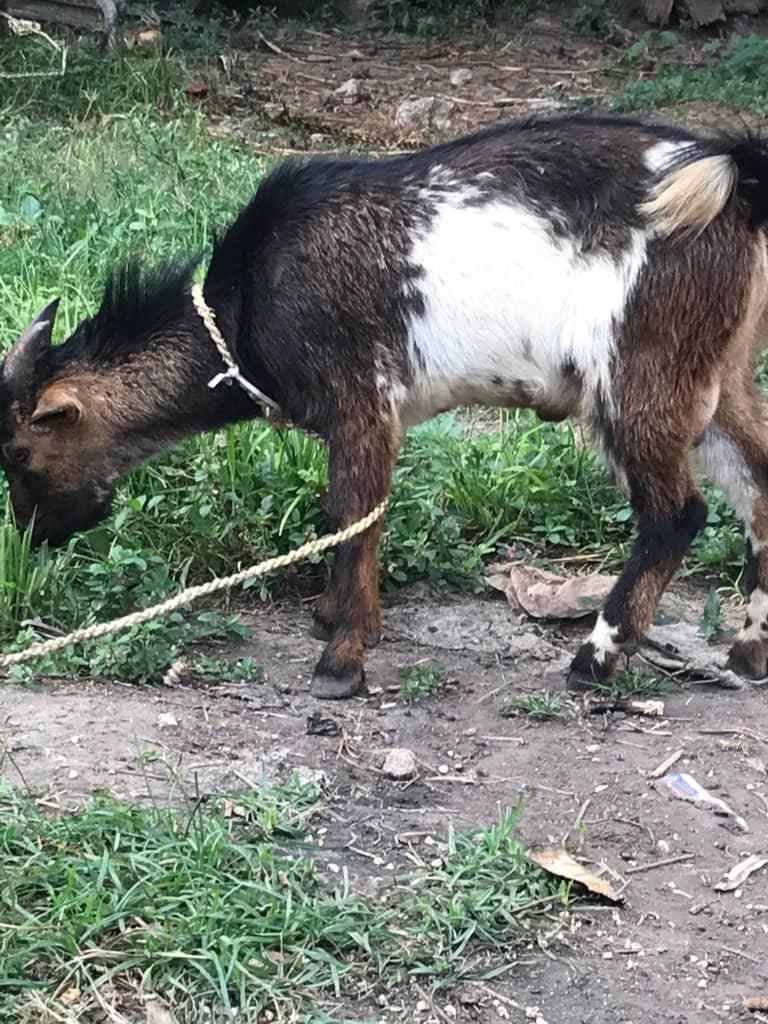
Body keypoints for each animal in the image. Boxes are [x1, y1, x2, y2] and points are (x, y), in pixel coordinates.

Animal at [3, 113, 768, 699]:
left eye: (21, 450)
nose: (33, 536)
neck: (247, 302)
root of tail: (737, 185)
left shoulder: (361, 399)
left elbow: (353, 513)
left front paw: (340, 661)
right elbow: (356, 515)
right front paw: (346, 619)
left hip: (640, 373)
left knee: (676, 515)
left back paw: (596, 657)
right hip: (718, 376)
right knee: (758, 487)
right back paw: (748, 652)